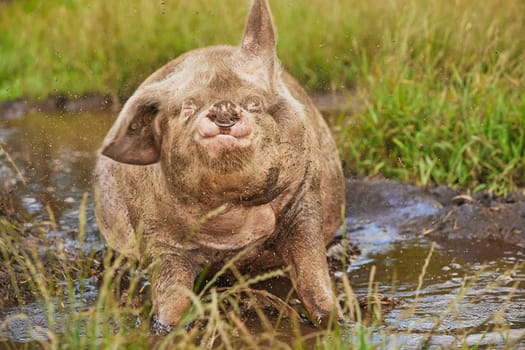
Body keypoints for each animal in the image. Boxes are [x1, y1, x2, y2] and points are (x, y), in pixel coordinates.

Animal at [93, 0, 344, 328]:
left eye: (254, 103)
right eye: (188, 107)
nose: (223, 107)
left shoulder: (304, 196)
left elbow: (312, 269)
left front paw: (334, 318)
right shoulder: (156, 233)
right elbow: (172, 294)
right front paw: (167, 327)